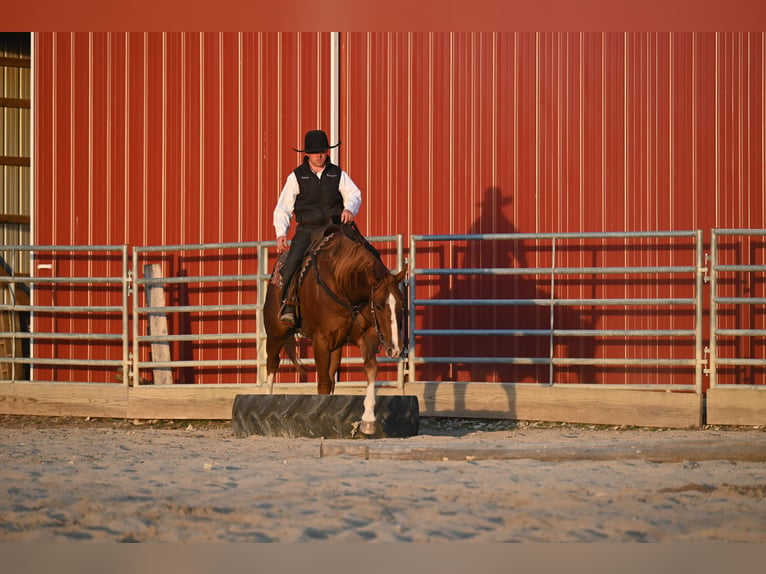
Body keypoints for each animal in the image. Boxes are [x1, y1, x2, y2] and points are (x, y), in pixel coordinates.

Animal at [264, 225, 408, 436]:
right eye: (379, 305)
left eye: (401, 304)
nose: (396, 349)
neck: (342, 284)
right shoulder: (320, 342)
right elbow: (323, 382)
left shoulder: (366, 337)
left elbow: (370, 369)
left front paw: (368, 420)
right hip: (275, 334)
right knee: (272, 365)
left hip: (336, 347)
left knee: (332, 376)